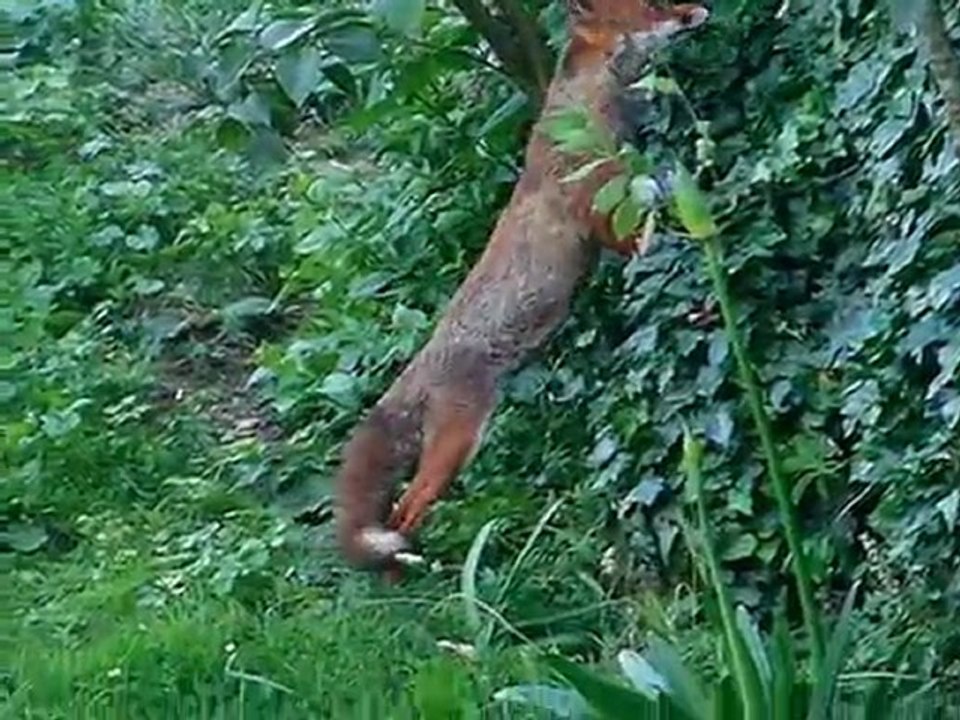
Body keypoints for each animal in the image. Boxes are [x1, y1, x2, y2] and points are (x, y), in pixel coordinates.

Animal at [335, 0, 709, 573]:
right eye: (653, 9)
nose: (700, 11)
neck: (587, 110)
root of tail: (418, 367)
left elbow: (646, 193)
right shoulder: (593, 210)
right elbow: (636, 226)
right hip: (457, 444)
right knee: (404, 509)